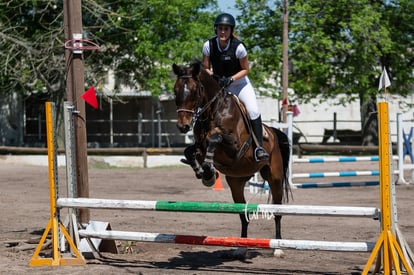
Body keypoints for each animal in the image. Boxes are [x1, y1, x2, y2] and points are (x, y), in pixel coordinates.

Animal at [171, 62, 292, 258]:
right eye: (175, 90)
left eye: (195, 91)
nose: (183, 126)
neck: (213, 111)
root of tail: (273, 131)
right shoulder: (200, 146)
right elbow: (190, 150)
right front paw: (205, 173)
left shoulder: (234, 146)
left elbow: (215, 138)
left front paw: (208, 170)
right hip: (237, 181)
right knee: (243, 214)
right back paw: (240, 247)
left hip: (275, 178)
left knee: (277, 212)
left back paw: (278, 248)